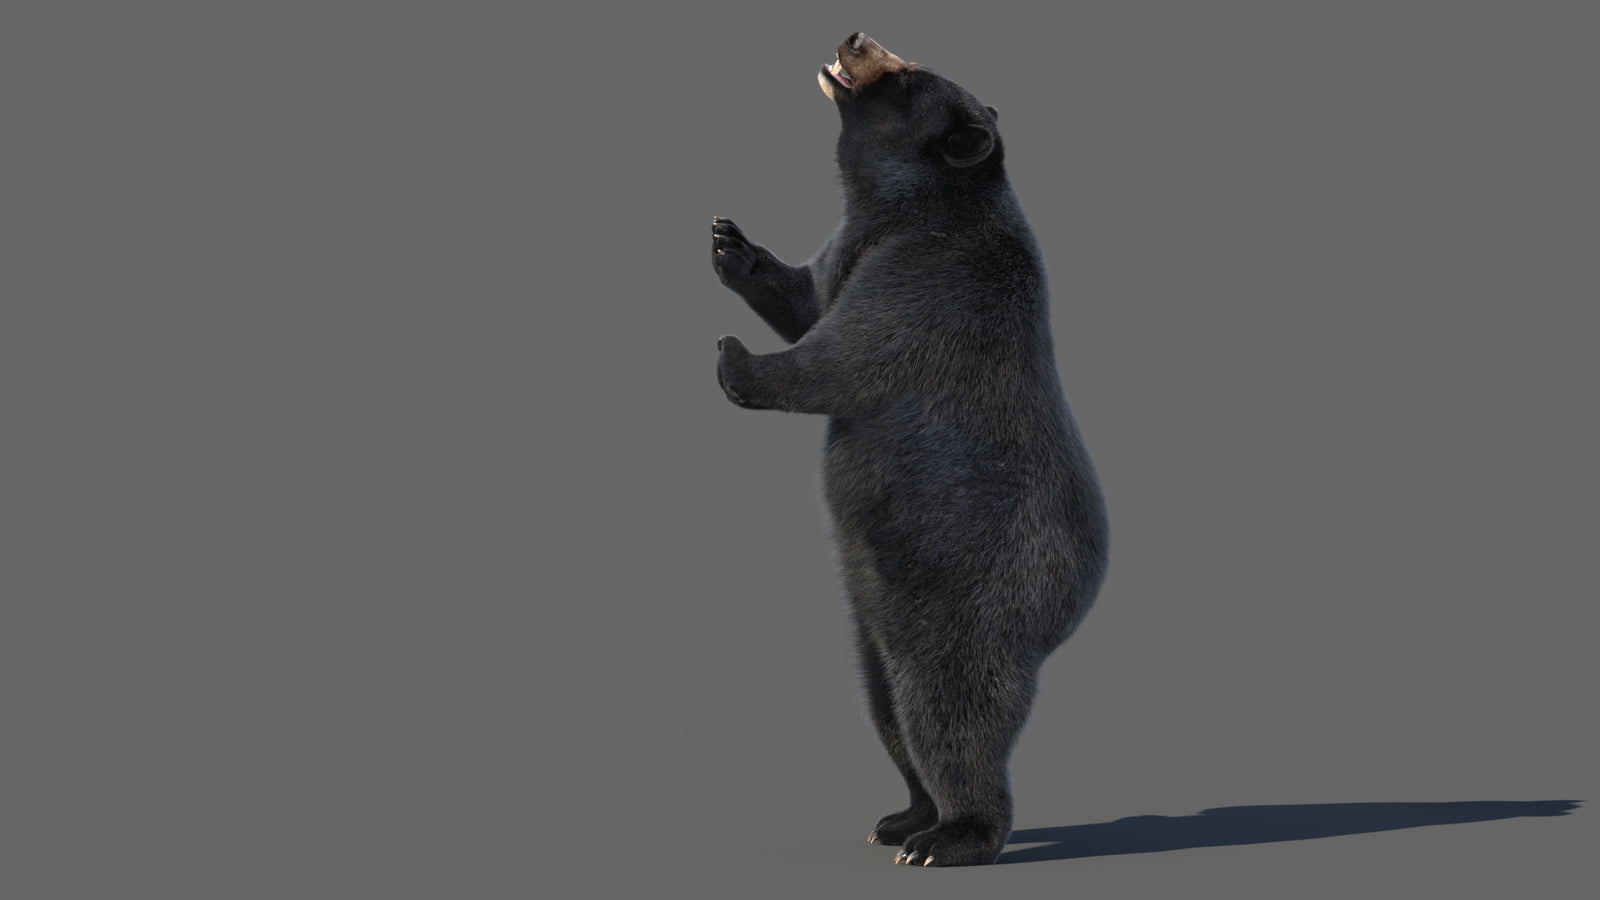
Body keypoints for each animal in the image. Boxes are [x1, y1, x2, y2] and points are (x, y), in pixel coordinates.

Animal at [712, 33, 1109, 868]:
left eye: (907, 75)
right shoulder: (851, 248)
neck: (899, 207)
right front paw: (732, 246)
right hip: (872, 618)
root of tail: (1068, 615)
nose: (854, 37)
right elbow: (809, 298)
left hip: (970, 600)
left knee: (947, 712)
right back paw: (902, 816)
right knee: (885, 706)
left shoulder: (933, 274)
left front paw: (735, 359)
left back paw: (951, 836)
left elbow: (849, 353)